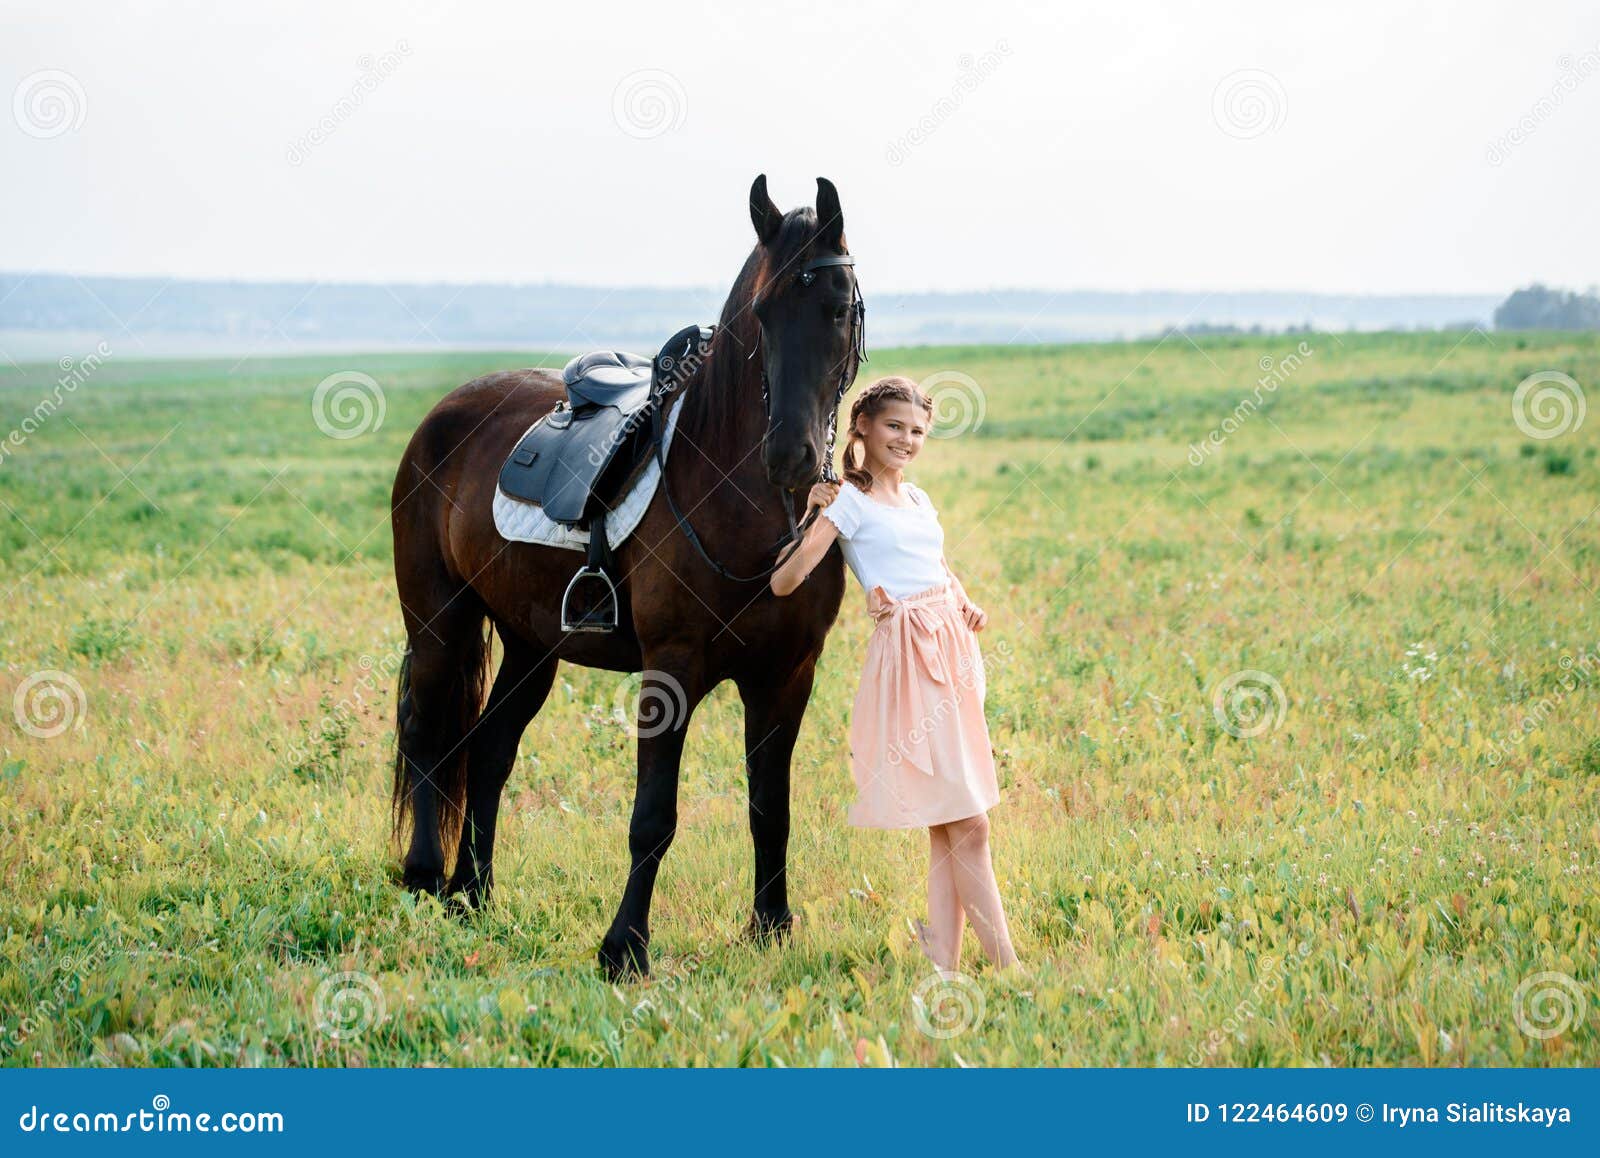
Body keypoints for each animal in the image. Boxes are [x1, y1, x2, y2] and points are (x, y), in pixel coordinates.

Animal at [387, 178, 864, 978]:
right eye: (762, 313)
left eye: (837, 307)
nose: (791, 457)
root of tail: (443, 416)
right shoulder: (670, 670)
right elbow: (653, 816)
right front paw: (624, 948)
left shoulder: (788, 673)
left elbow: (771, 806)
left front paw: (771, 926)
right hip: (438, 623)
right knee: (429, 736)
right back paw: (426, 877)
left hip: (530, 645)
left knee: (489, 750)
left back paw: (472, 893)